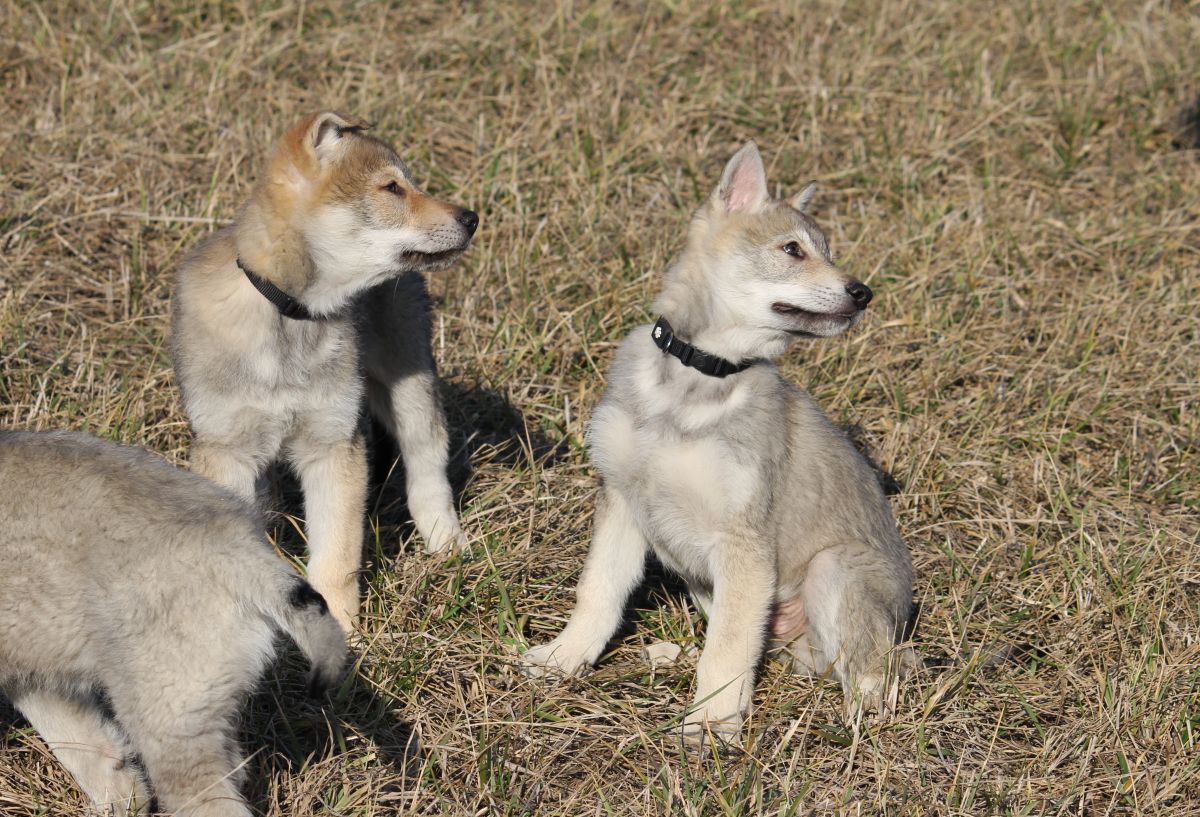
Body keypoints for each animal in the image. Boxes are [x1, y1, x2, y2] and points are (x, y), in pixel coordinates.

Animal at [520, 141, 912, 743]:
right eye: (793, 250)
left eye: (827, 251)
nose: (863, 293)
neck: (695, 378)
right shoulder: (623, 504)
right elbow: (599, 594)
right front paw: (565, 659)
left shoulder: (743, 542)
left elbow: (728, 651)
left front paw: (709, 724)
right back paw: (669, 655)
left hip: (833, 571)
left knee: (872, 676)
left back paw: (855, 727)